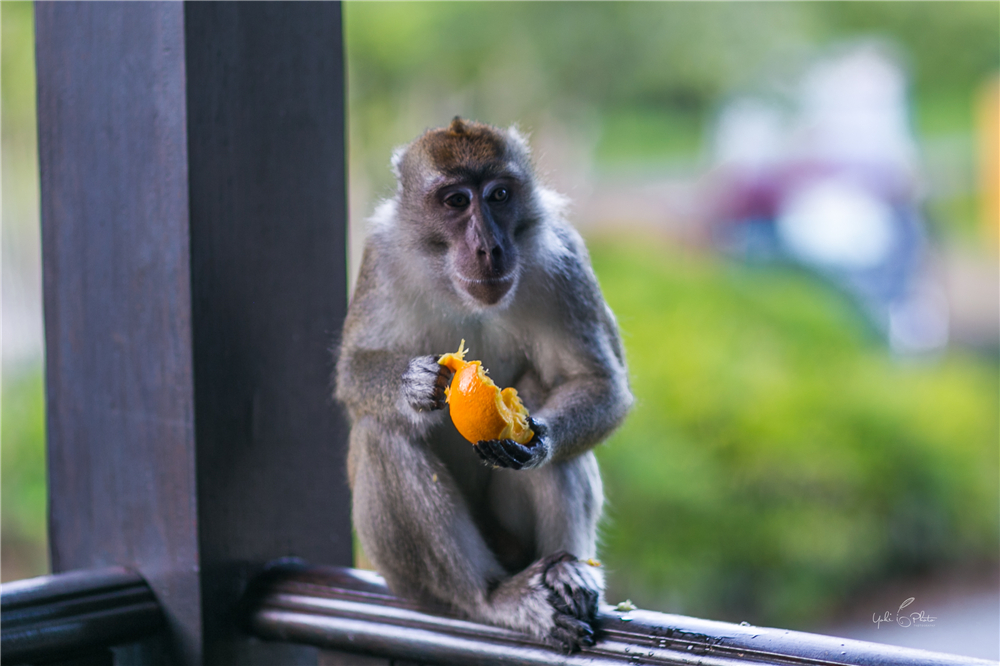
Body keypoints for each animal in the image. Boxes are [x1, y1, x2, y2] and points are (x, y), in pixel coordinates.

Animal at [336, 118, 632, 648]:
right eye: (456, 201)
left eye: (499, 195)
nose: (489, 247)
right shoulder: (381, 259)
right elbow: (352, 370)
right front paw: (415, 385)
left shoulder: (566, 259)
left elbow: (598, 382)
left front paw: (539, 439)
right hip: (405, 579)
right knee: (383, 433)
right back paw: (489, 599)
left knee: (551, 415)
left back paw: (564, 571)